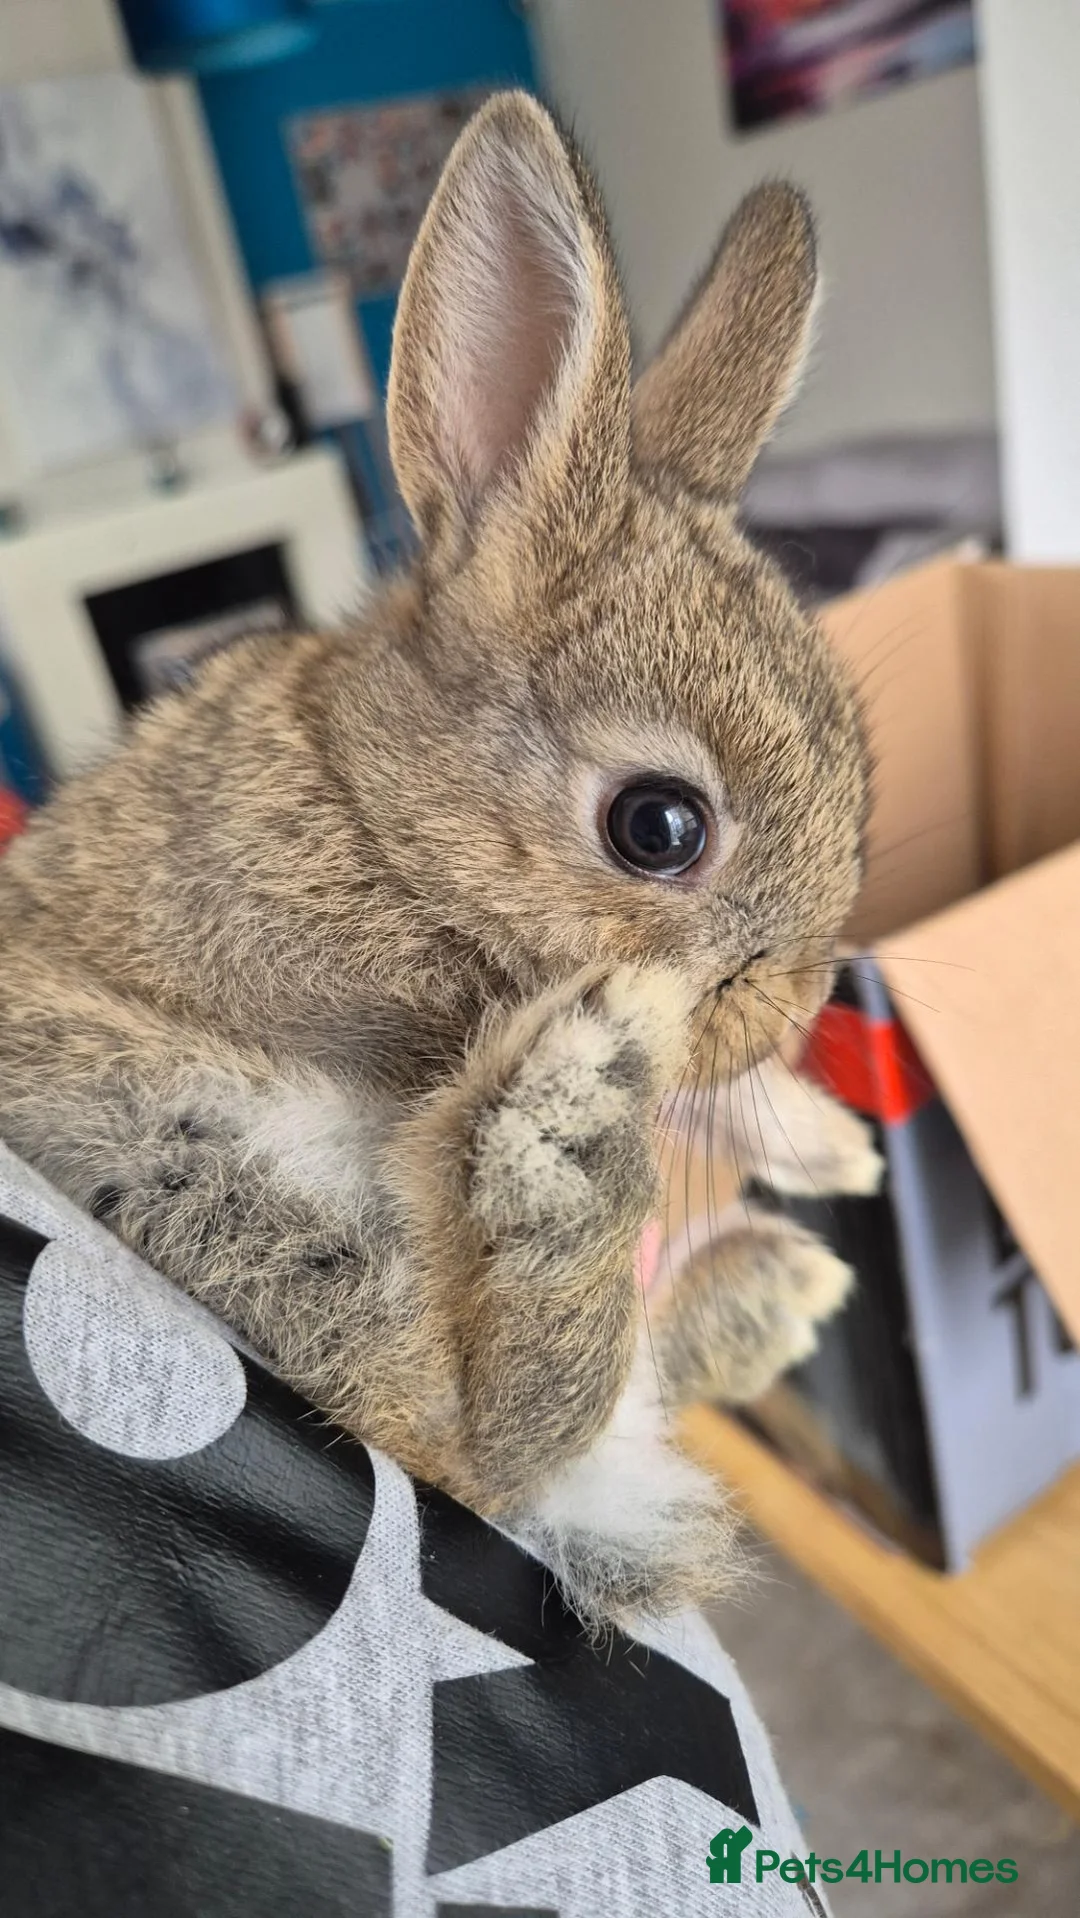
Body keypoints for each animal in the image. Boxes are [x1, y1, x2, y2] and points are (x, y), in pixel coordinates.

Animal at [0, 92, 879, 1627]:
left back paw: (761, 1280)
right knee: (475, 1437)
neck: (376, 801)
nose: (801, 1006)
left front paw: (830, 1140)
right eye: (659, 827)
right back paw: (586, 1130)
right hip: (165, 1146)